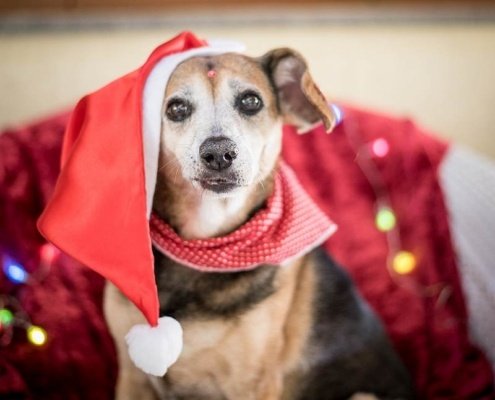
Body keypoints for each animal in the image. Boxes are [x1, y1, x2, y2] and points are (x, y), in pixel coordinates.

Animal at [103, 47, 414, 400]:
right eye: (176, 108)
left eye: (250, 101)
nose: (219, 152)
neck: (206, 247)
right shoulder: (132, 378)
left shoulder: (253, 384)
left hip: (363, 395)